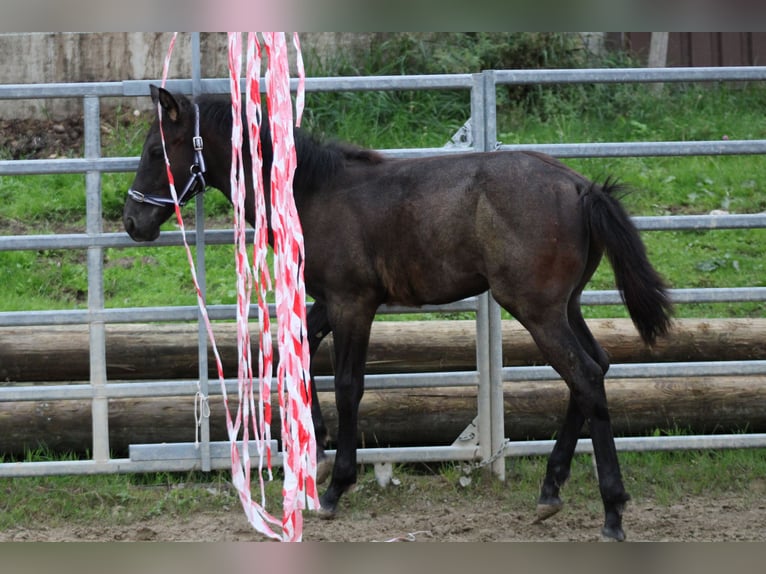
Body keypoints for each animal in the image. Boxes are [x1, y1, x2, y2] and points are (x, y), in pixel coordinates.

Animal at [121, 84, 672, 540]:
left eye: (156, 151)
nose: (132, 222)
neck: (312, 192)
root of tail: (582, 188)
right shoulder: (328, 302)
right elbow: (298, 356)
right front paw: (318, 456)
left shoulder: (353, 304)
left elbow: (349, 385)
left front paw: (336, 486)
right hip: (566, 306)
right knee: (596, 369)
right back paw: (551, 490)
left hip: (538, 310)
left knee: (585, 376)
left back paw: (612, 510)